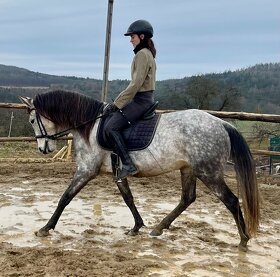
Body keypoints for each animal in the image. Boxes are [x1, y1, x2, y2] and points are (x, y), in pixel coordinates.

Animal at [20, 89, 260, 249]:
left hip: (208, 172)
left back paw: (243, 240)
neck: (90, 126)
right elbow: (128, 198)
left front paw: (45, 228)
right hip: (188, 169)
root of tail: (222, 124)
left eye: (32, 120)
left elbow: (65, 197)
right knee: (187, 198)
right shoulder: (118, 173)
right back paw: (159, 227)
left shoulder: (86, 170)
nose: (43, 149)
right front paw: (137, 226)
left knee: (231, 201)